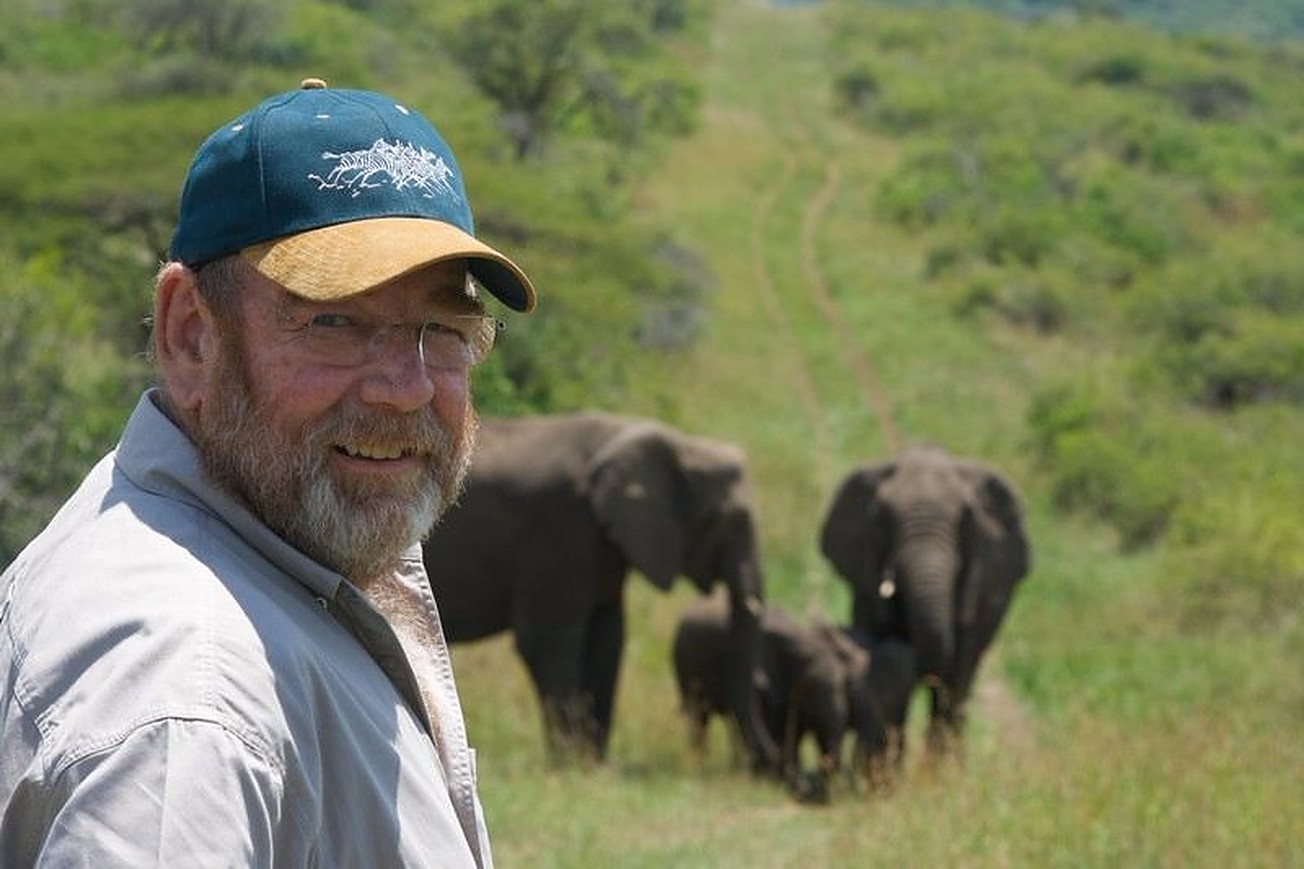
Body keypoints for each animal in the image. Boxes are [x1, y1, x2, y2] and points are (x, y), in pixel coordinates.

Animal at [422, 412, 777, 767]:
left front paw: (594, 764)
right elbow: (548, 642)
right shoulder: (560, 527)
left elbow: (609, 639)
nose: (769, 768)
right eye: (719, 520)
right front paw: (568, 765)